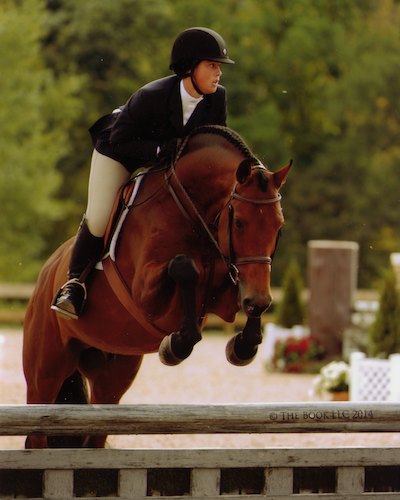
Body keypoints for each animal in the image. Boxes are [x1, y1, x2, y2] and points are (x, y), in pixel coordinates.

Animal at [22, 126, 290, 450]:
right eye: (238, 222)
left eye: (279, 226)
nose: (258, 300)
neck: (192, 211)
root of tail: (46, 274)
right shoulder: (145, 294)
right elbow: (185, 268)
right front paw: (176, 345)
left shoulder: (228, 286)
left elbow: (236, 287)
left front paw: (244, 345)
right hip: (45, 372)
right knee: (37, 432)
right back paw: (69, 297)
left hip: (112, 374)